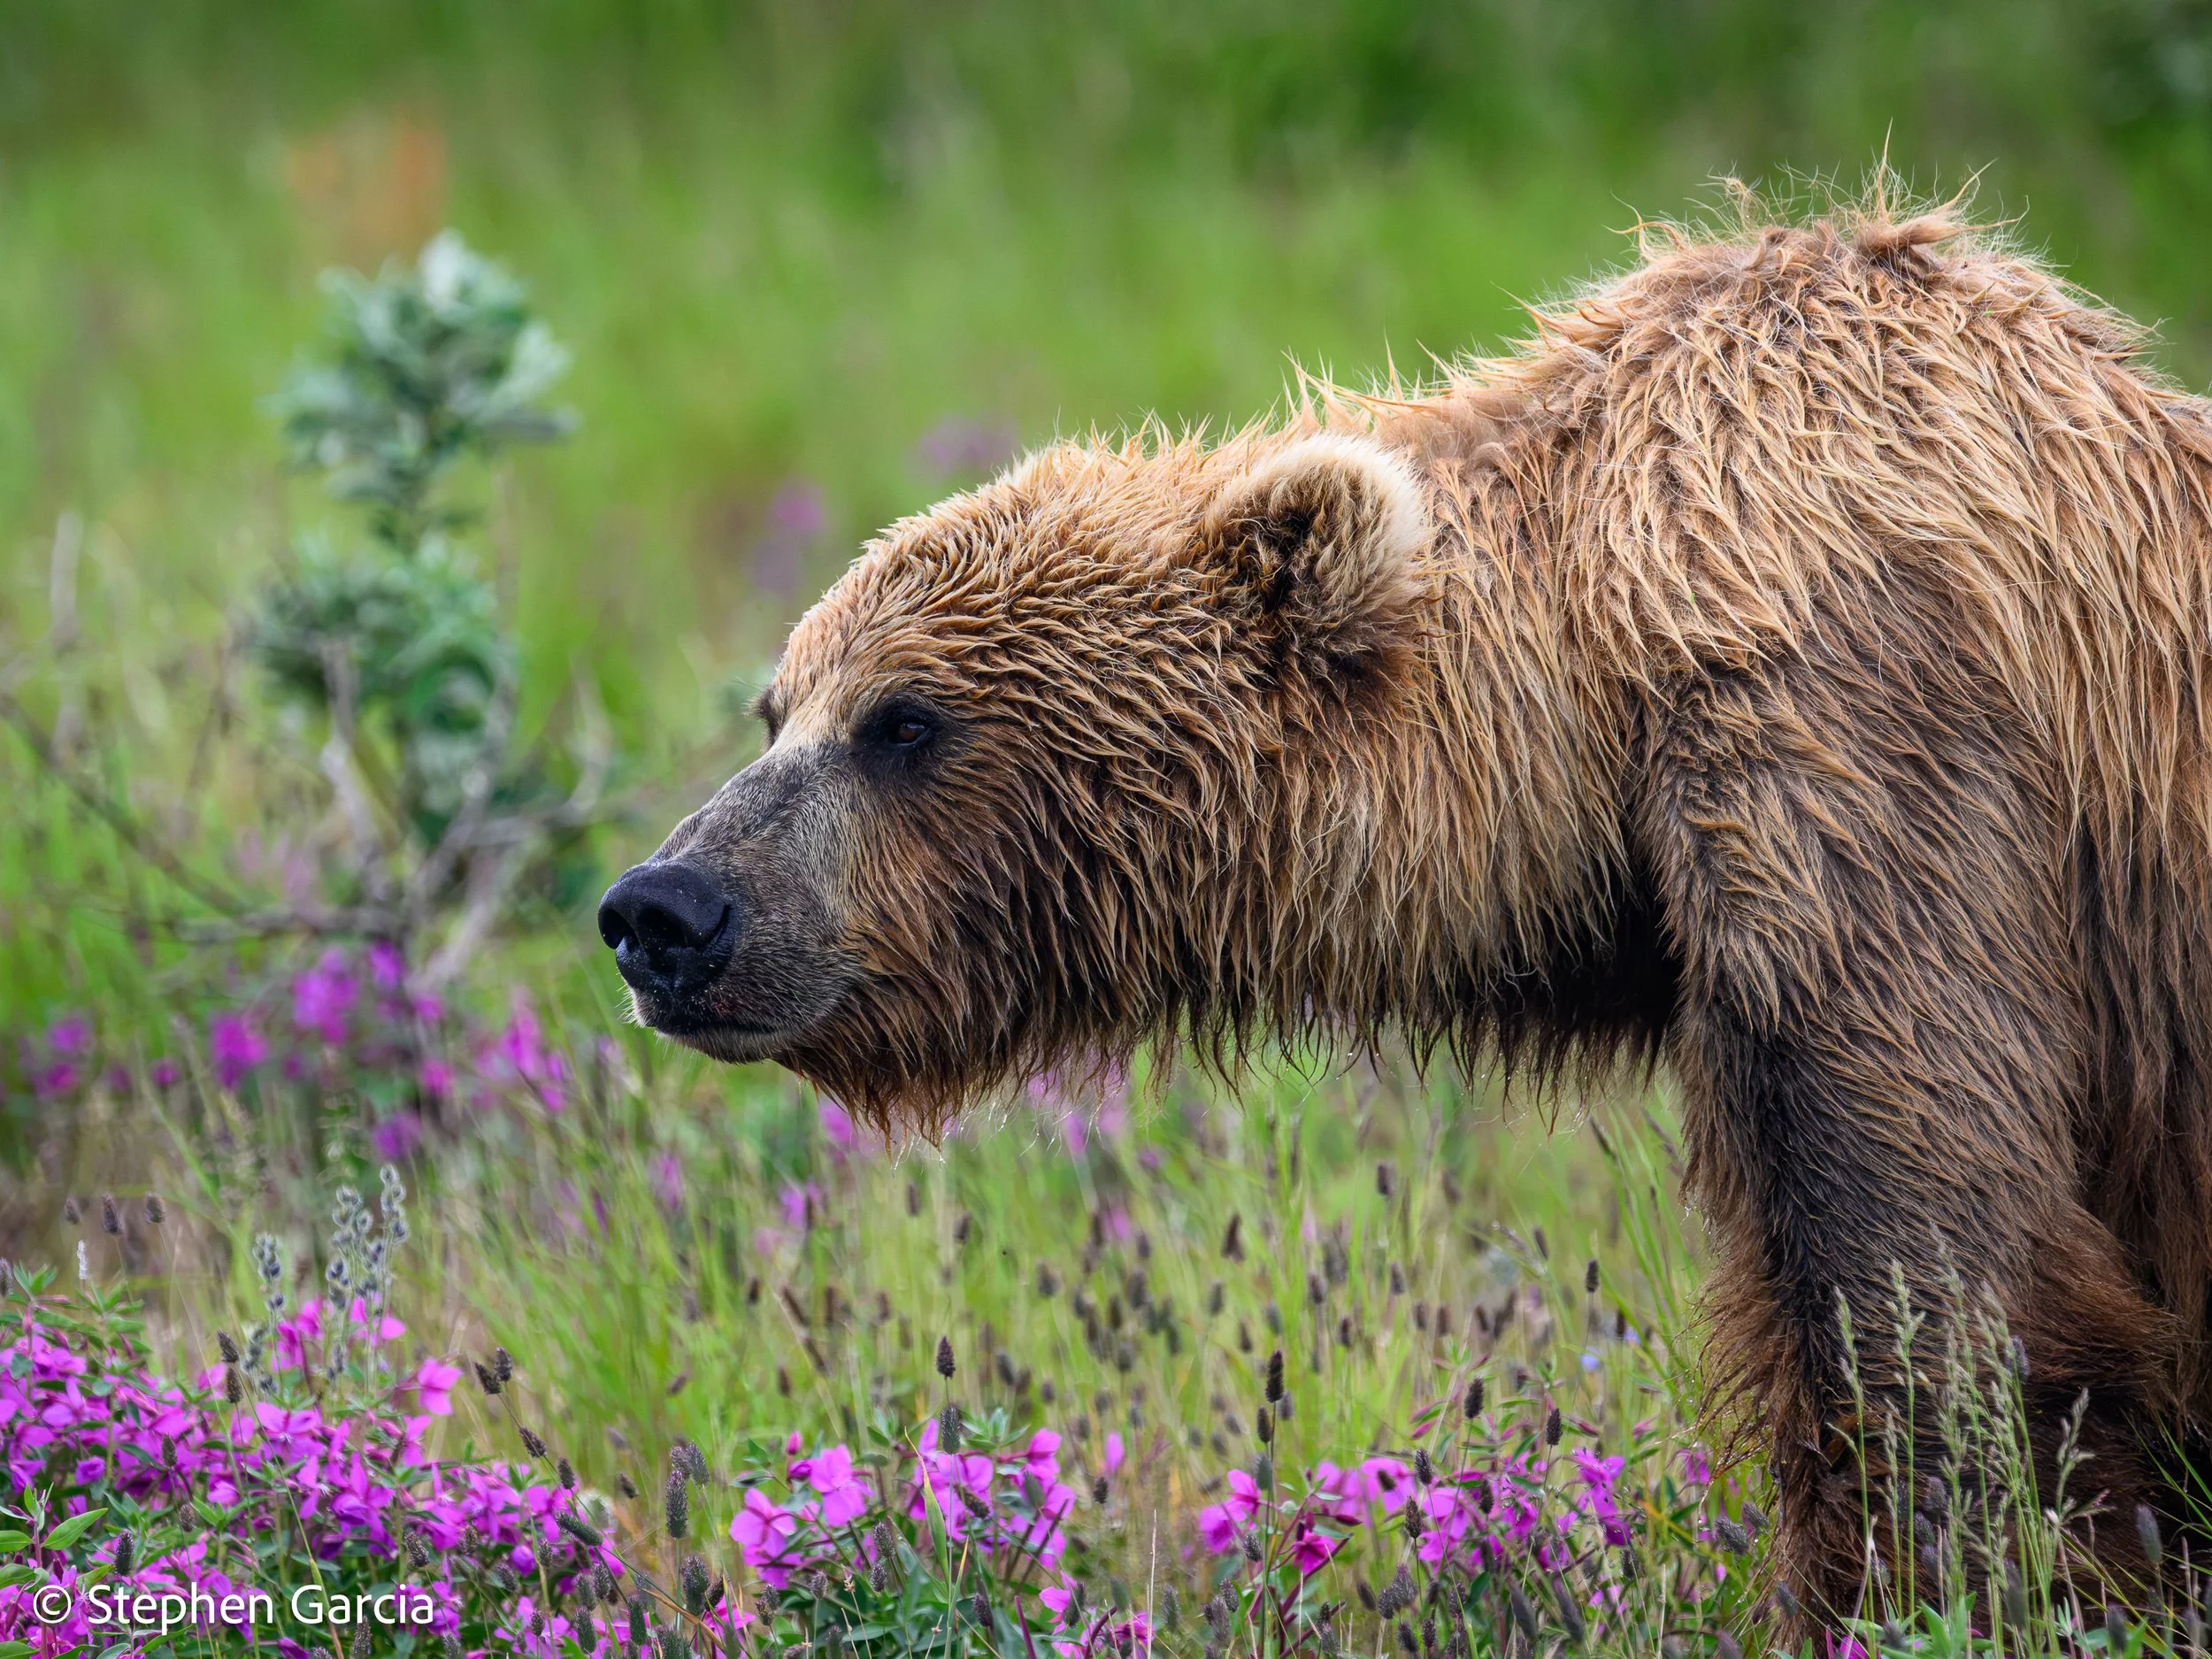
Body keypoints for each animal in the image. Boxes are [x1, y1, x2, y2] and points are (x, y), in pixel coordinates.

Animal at [598, 199, 2212, 1618]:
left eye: (902, 719)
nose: (663, 908)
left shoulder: (1872, 763)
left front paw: (1941, 1586)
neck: (1593, 693)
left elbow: (1926, 1277)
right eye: (777, 708)